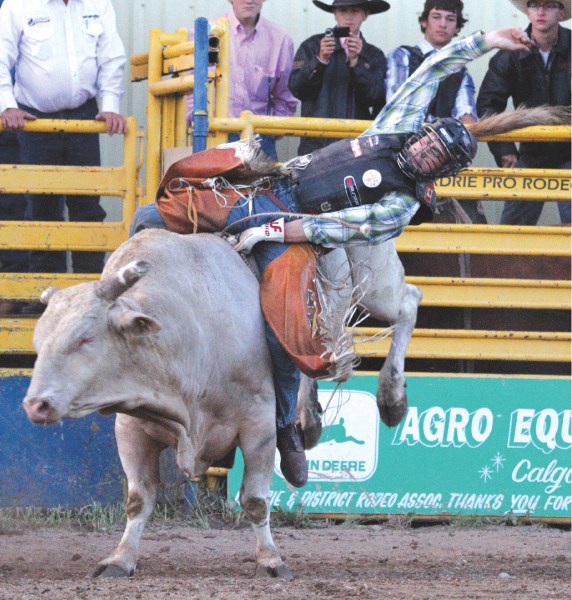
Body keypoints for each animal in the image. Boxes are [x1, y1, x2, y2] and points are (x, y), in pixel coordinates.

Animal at [21, 227, 420, 580]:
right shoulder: (131, 427)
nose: (35, 405)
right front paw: (120, 559)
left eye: (85, 338)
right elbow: (139, 498)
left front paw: (270, 561)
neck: (190, 331)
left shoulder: (258, 426)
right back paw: (310, 421)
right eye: (39, 340)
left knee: (408, 302)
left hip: (375, 279)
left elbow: (255, 500)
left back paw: (392, 398)